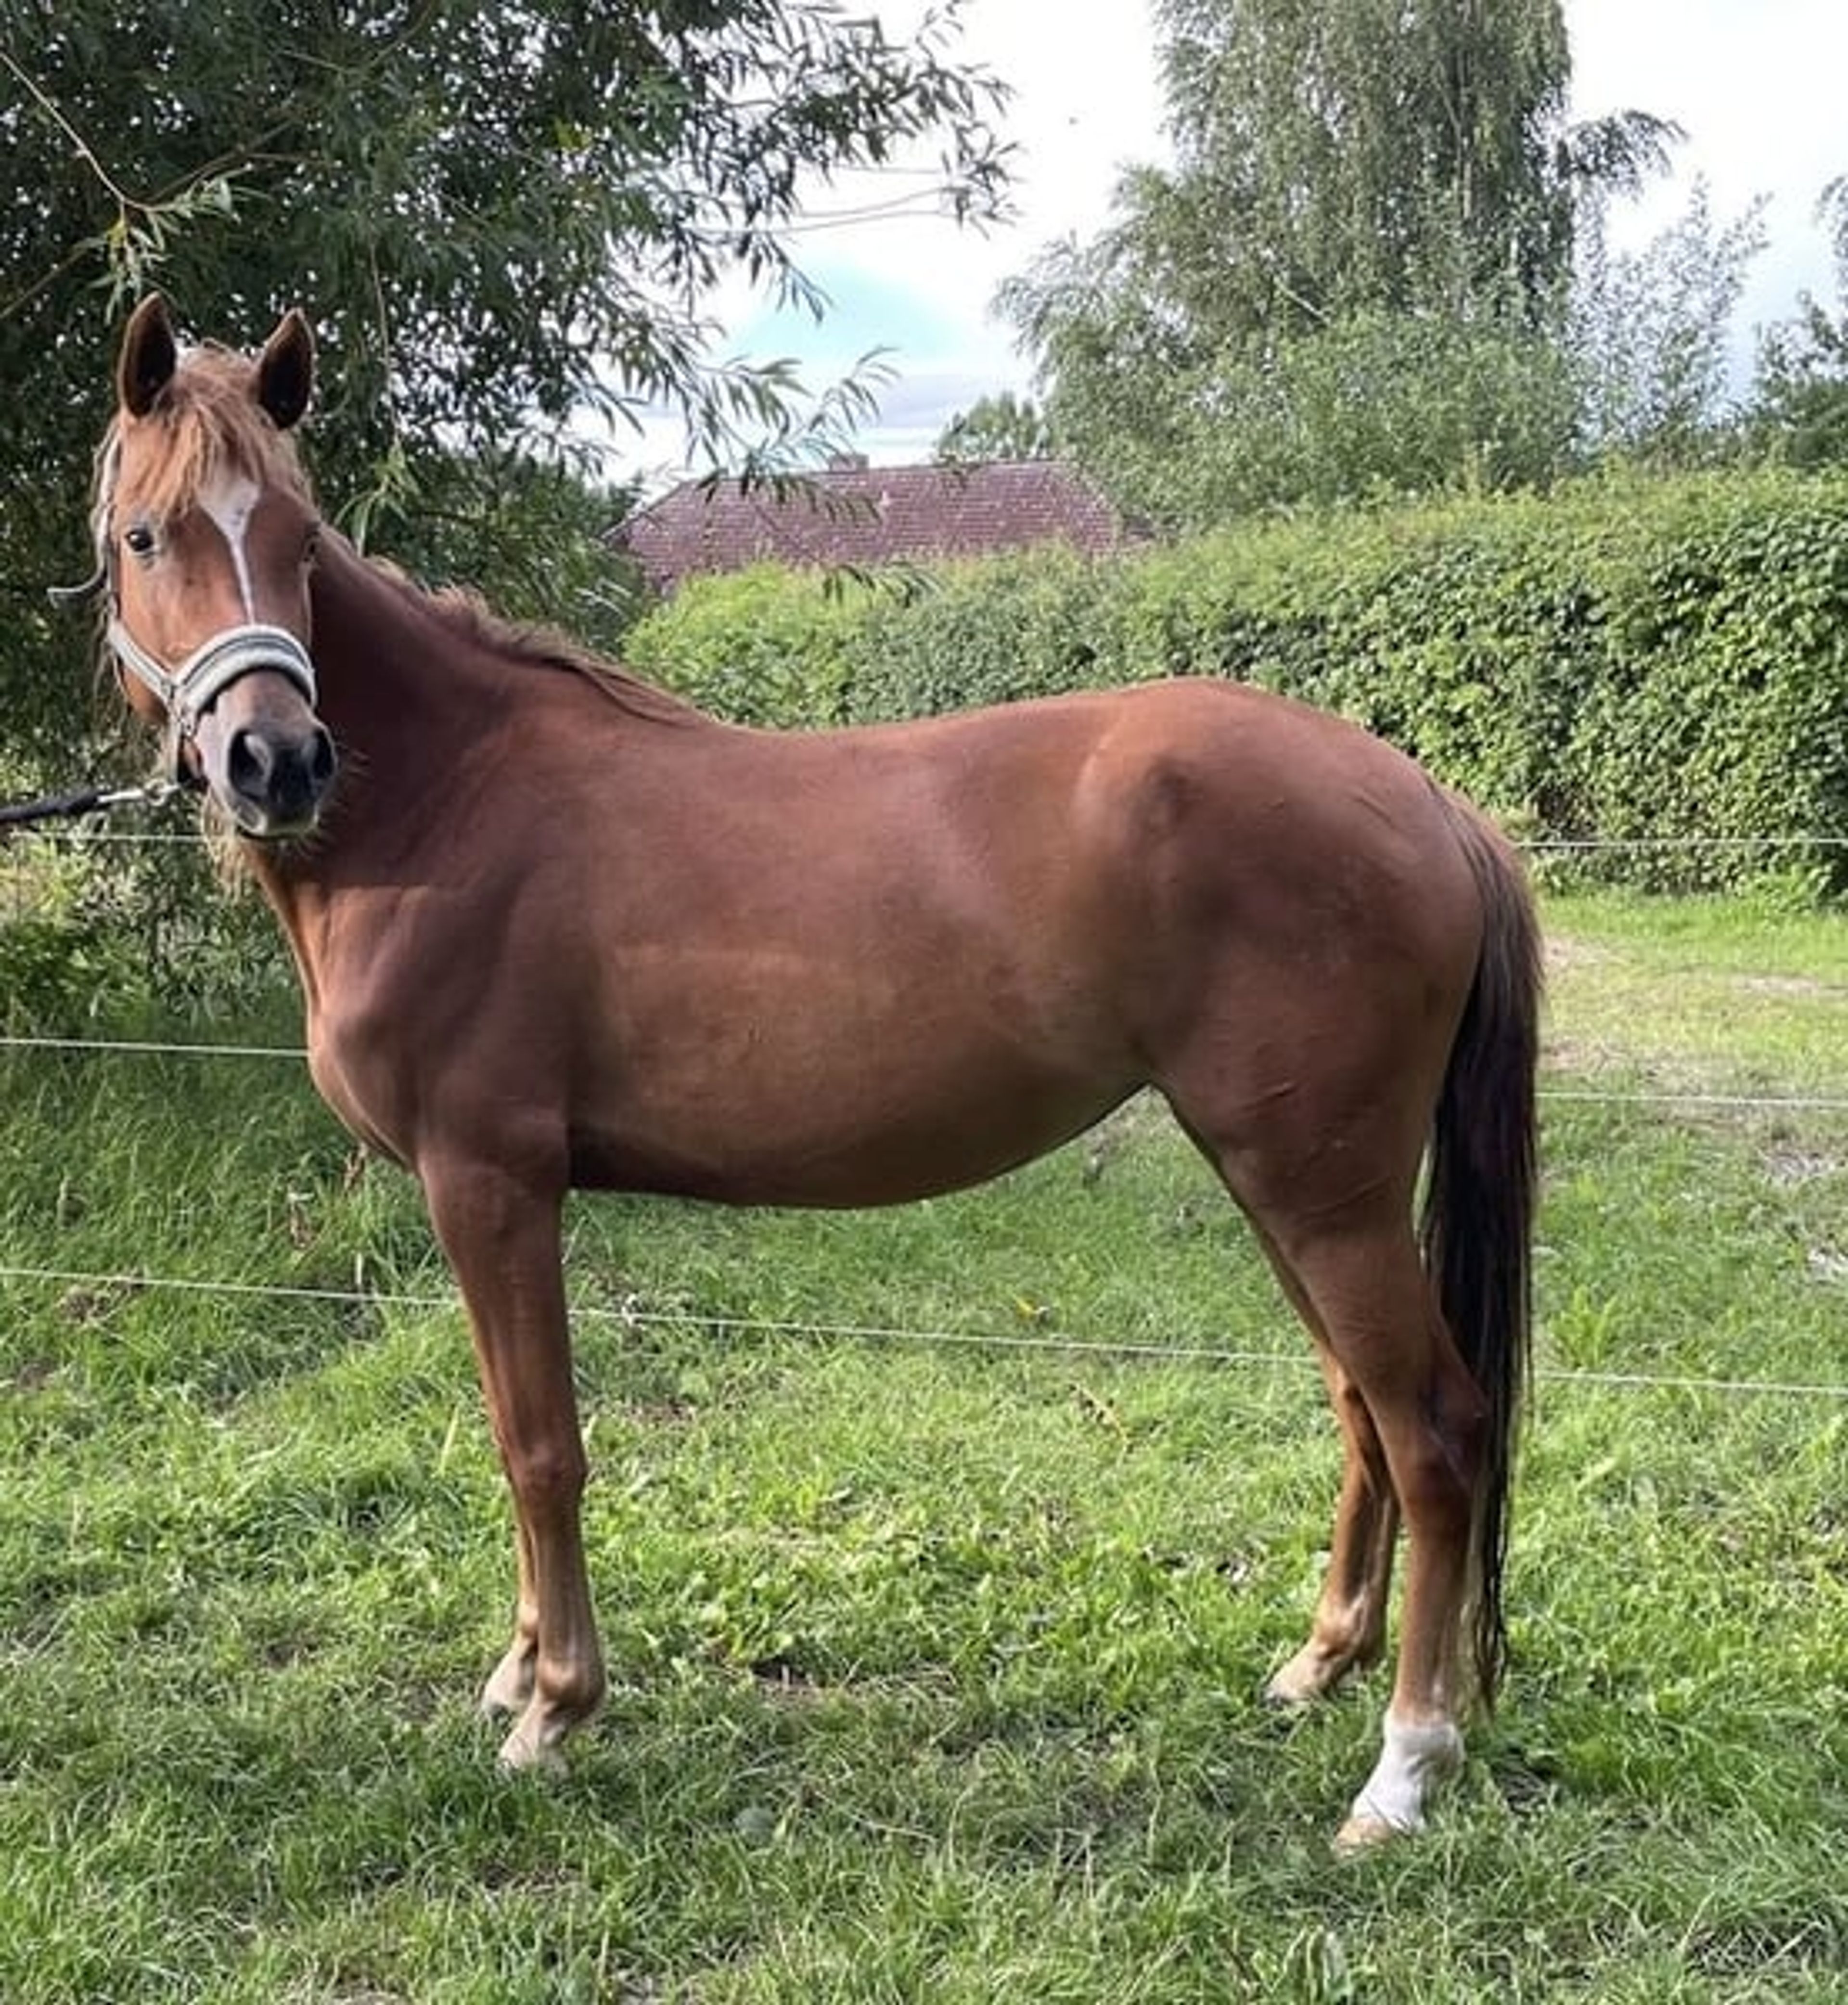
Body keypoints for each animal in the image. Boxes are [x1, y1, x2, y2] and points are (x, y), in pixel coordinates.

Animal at [76, 294, 1540, 1851]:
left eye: (298, 538)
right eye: (147, 535)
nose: (274, 761)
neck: (447, 804)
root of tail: (1430, 801)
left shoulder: (491, 1181)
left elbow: (541, 1444)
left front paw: (554, 1705)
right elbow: (512, 1433)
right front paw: (522, 1668)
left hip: (1323, 1195)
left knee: (1435, 1429)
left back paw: (1402, 1765)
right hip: (1285, 1184)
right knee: (1361, 1411)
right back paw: (1316, 1663)